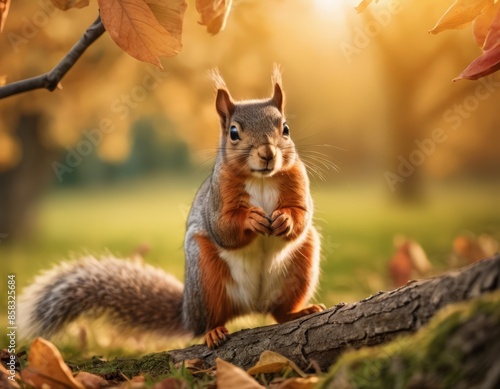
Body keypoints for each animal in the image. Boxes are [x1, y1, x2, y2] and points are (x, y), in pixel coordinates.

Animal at [18, 65, 324, 348]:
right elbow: (223, 227)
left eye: (286, 129)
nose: (267, 153)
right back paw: (213, 331)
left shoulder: (298, 184)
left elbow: (302, 214)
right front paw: (252, 219)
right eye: (234, 132)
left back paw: (299, 312)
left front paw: (285, 219)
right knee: (209, 321)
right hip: (204, 276)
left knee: (279, 311)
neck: (261, 179)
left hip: (301, 265)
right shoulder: (217, 200)